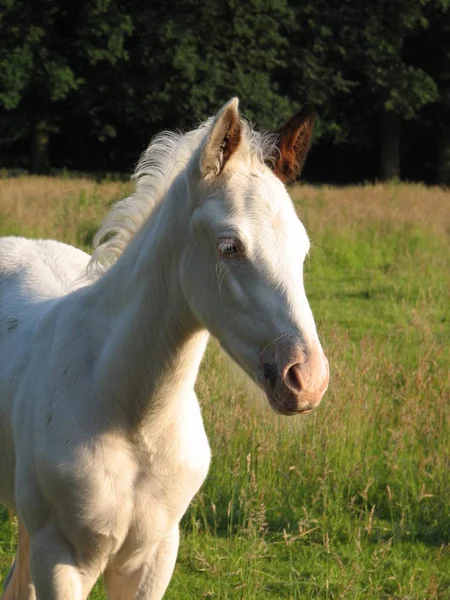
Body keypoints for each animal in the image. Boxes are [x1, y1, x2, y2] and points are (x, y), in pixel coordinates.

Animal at [0, 99, 330, 600]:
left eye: (303, 248)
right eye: (229, 246)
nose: (306, 380)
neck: (131, 418)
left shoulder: (154, 558)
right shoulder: (60, 559)